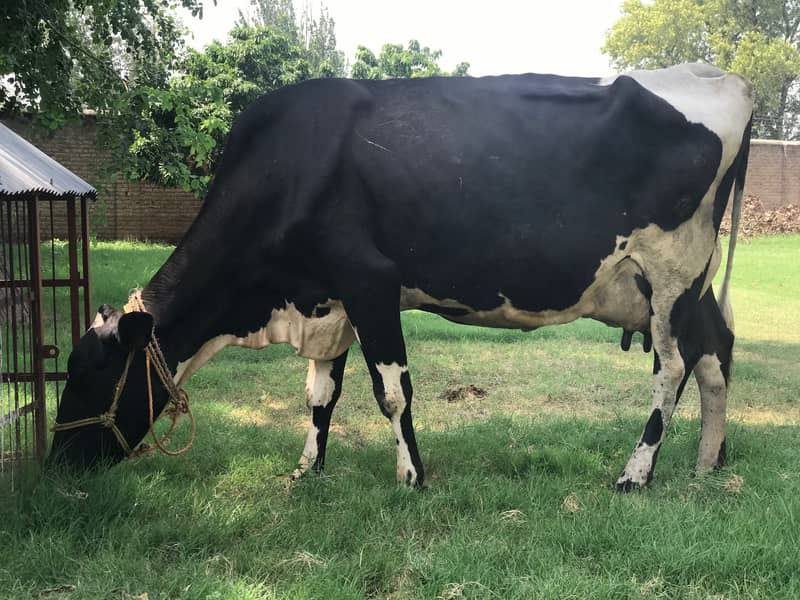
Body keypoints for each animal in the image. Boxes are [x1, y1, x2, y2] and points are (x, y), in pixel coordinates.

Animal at [48, 62, 752, 492]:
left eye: (89, 376)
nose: (54, 464)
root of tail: (720, 76)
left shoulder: (371, 283)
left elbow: (393, 391)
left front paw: (412, 476)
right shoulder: (328, 300)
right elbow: (320, 394)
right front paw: (308, 470)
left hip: (670, 273)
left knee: (671, 370)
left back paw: (637, 472)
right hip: (683, 287)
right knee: (715, 350)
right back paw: (708, 462)